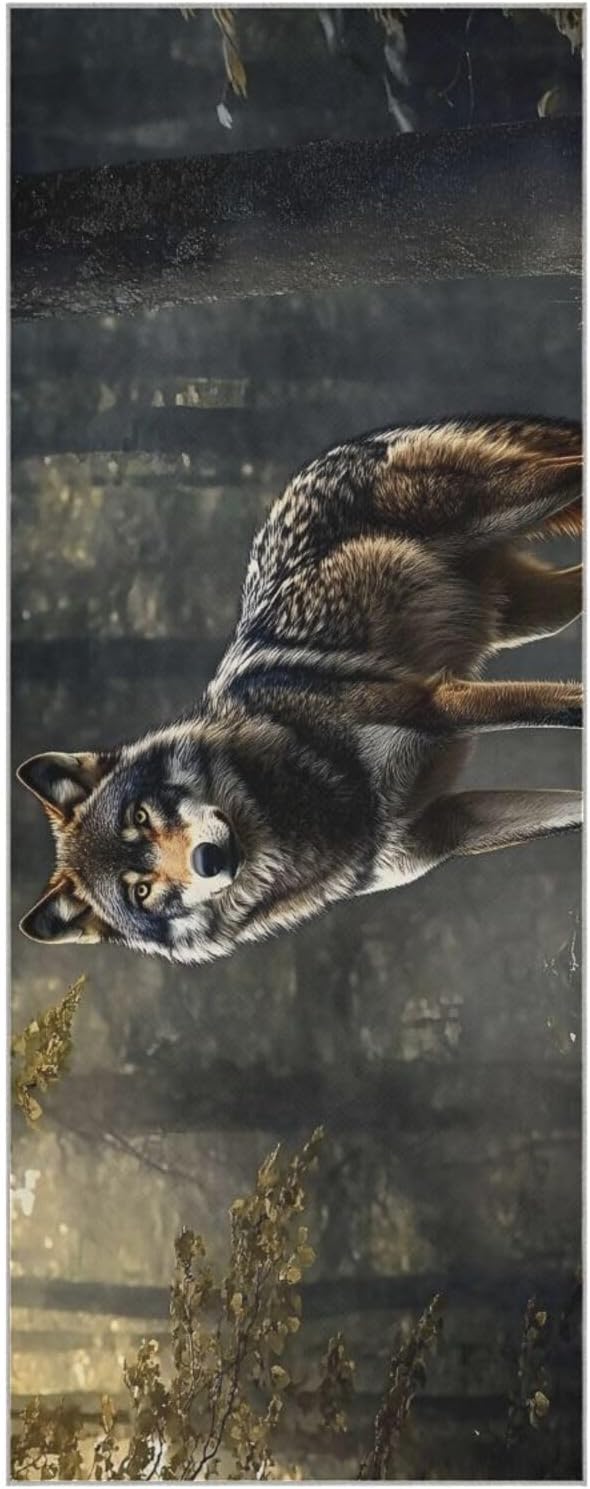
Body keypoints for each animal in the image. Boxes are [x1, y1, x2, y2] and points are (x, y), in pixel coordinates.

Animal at [18, 415, 582, 965]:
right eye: (141, 891)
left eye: (140, 816)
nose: (208, 858)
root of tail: (339, 450)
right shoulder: (457, 823)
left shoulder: (435, 705)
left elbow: (564, 710)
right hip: (541, 612)